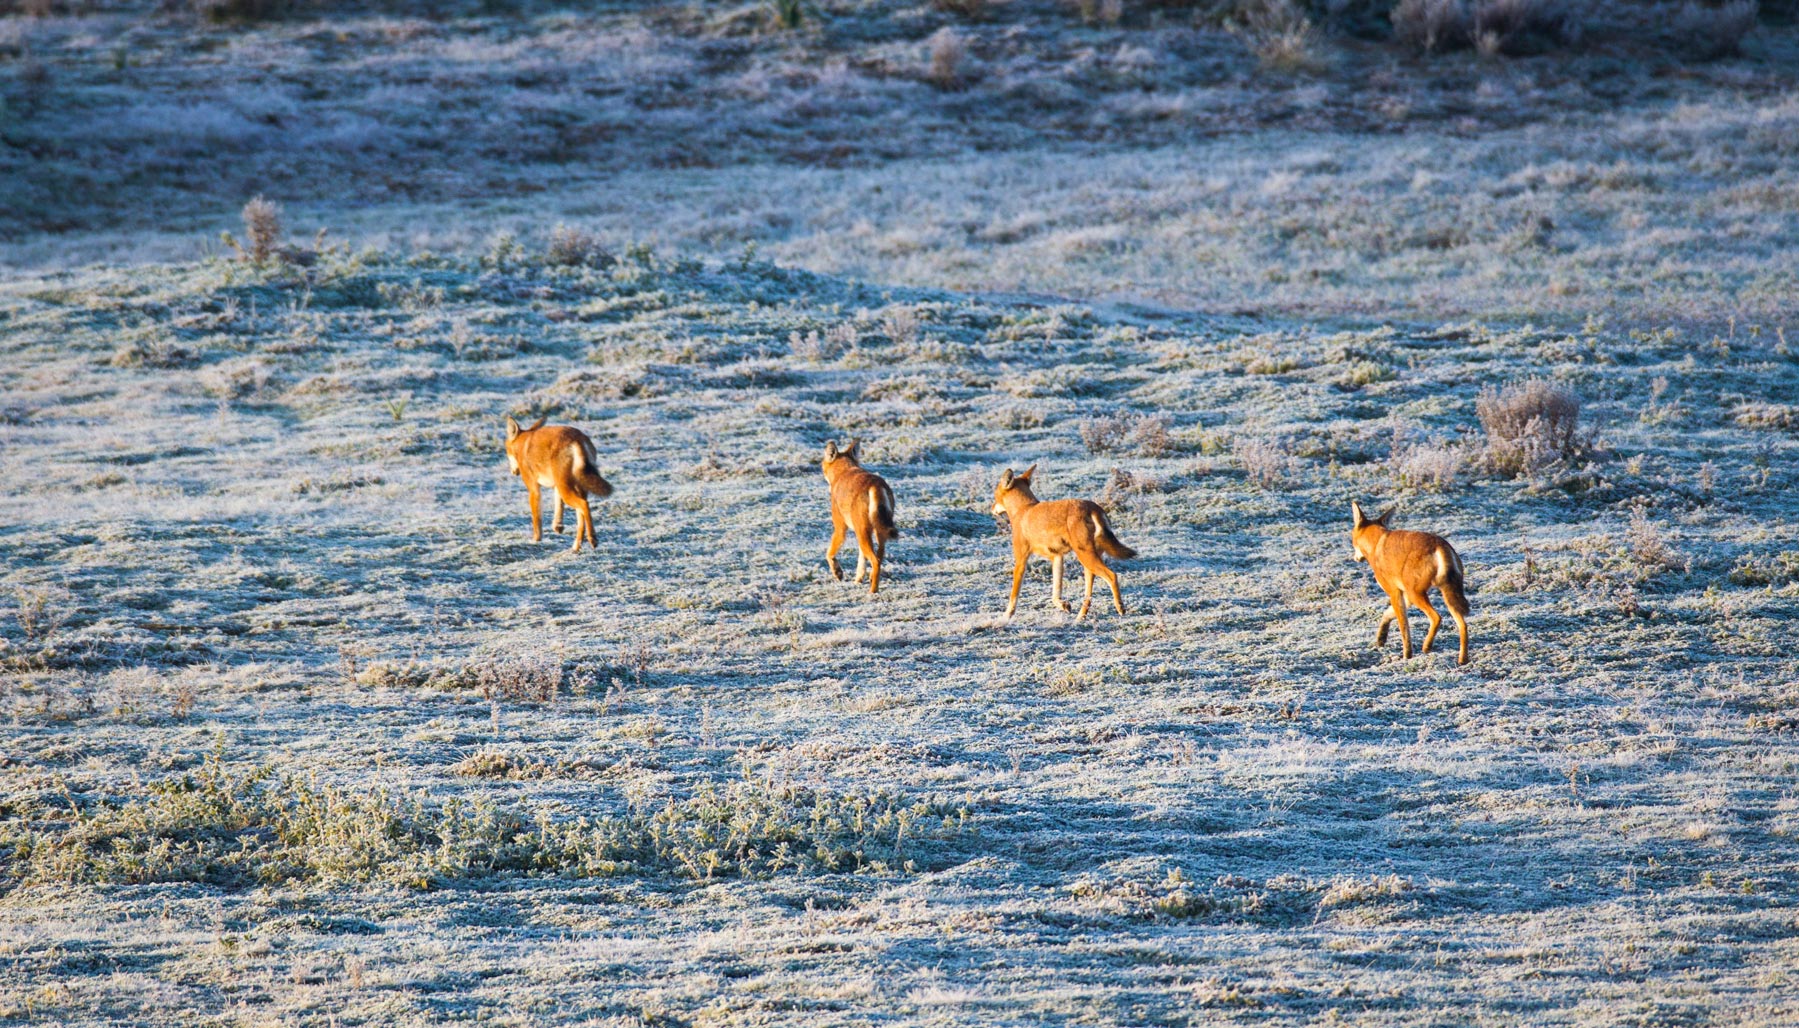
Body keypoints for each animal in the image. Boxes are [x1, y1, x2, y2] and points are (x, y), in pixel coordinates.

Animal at [503, 415, 615, 554]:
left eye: (506, 452)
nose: (513, 472)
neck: (522, 445)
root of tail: (577, 438)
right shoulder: (556, 486)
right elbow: (558, 507)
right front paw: (558, 526)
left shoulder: (534, 489)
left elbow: (537, 520)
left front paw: (536, 540)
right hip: (572, 487)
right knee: (581, 516)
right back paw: (576, 547)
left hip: (567, 489)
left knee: (584, 505)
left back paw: (592, 539)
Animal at [1352, 500, 1475, 666]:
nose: (1355, 558)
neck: (1376, 543)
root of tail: (1440, 544)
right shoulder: (1404, 596)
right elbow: (1387, 614)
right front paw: (1381, 638)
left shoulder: (1395, 593)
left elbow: (1404, 629)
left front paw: (1406, 656)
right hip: (1445, 596)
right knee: (1463, 625)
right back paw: (1462, 660)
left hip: (1417, 594)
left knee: (1437, 617)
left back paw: (1426, 646)